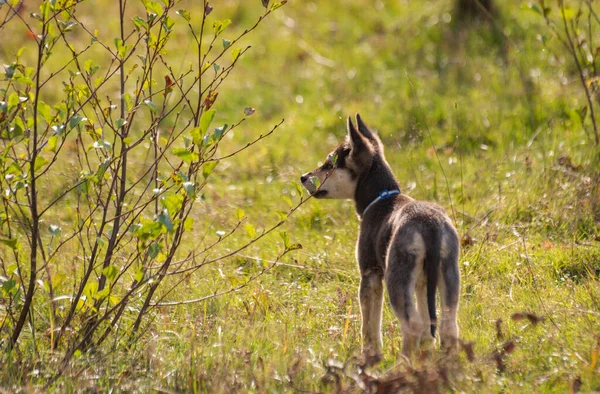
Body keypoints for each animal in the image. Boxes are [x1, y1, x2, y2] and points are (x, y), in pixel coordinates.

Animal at [300, 114, 460, 358]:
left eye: (329, 165)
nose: (302, 177)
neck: (381, 198)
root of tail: (429, 226)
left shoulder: (370, 275)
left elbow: (369, 324)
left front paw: (370, 354)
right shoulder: (422, 283)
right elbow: (427, 325)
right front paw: (426, 352)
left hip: (397, 277)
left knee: (412, 324)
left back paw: (403, 362)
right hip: (448, 274)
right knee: (447, 326)